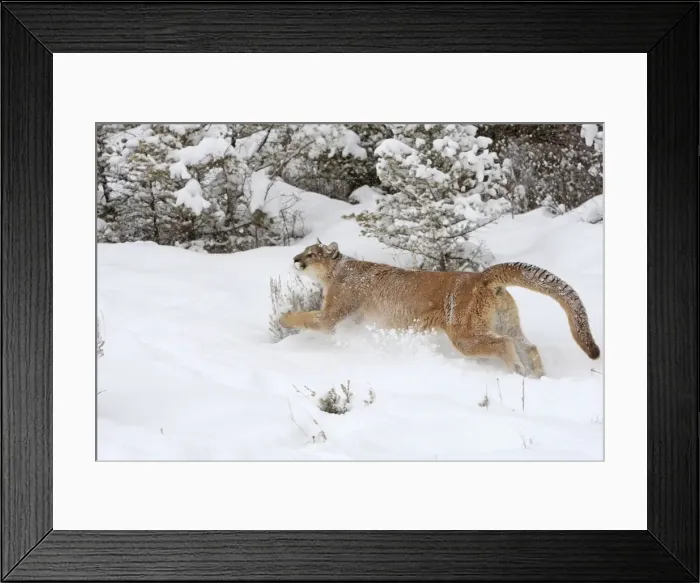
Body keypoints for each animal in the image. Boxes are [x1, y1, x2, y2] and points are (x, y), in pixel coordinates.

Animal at [279, 239, 601, 378]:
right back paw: (538, 375)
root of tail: (481, 276)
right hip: (505, 321)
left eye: (311, 253)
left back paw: (516, 371)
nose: (294, 259)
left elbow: (309, 318)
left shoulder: (333, 313)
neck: (336, 271)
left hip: (465, 333)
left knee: (503, 344)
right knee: (527, 344)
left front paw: (284, 318)